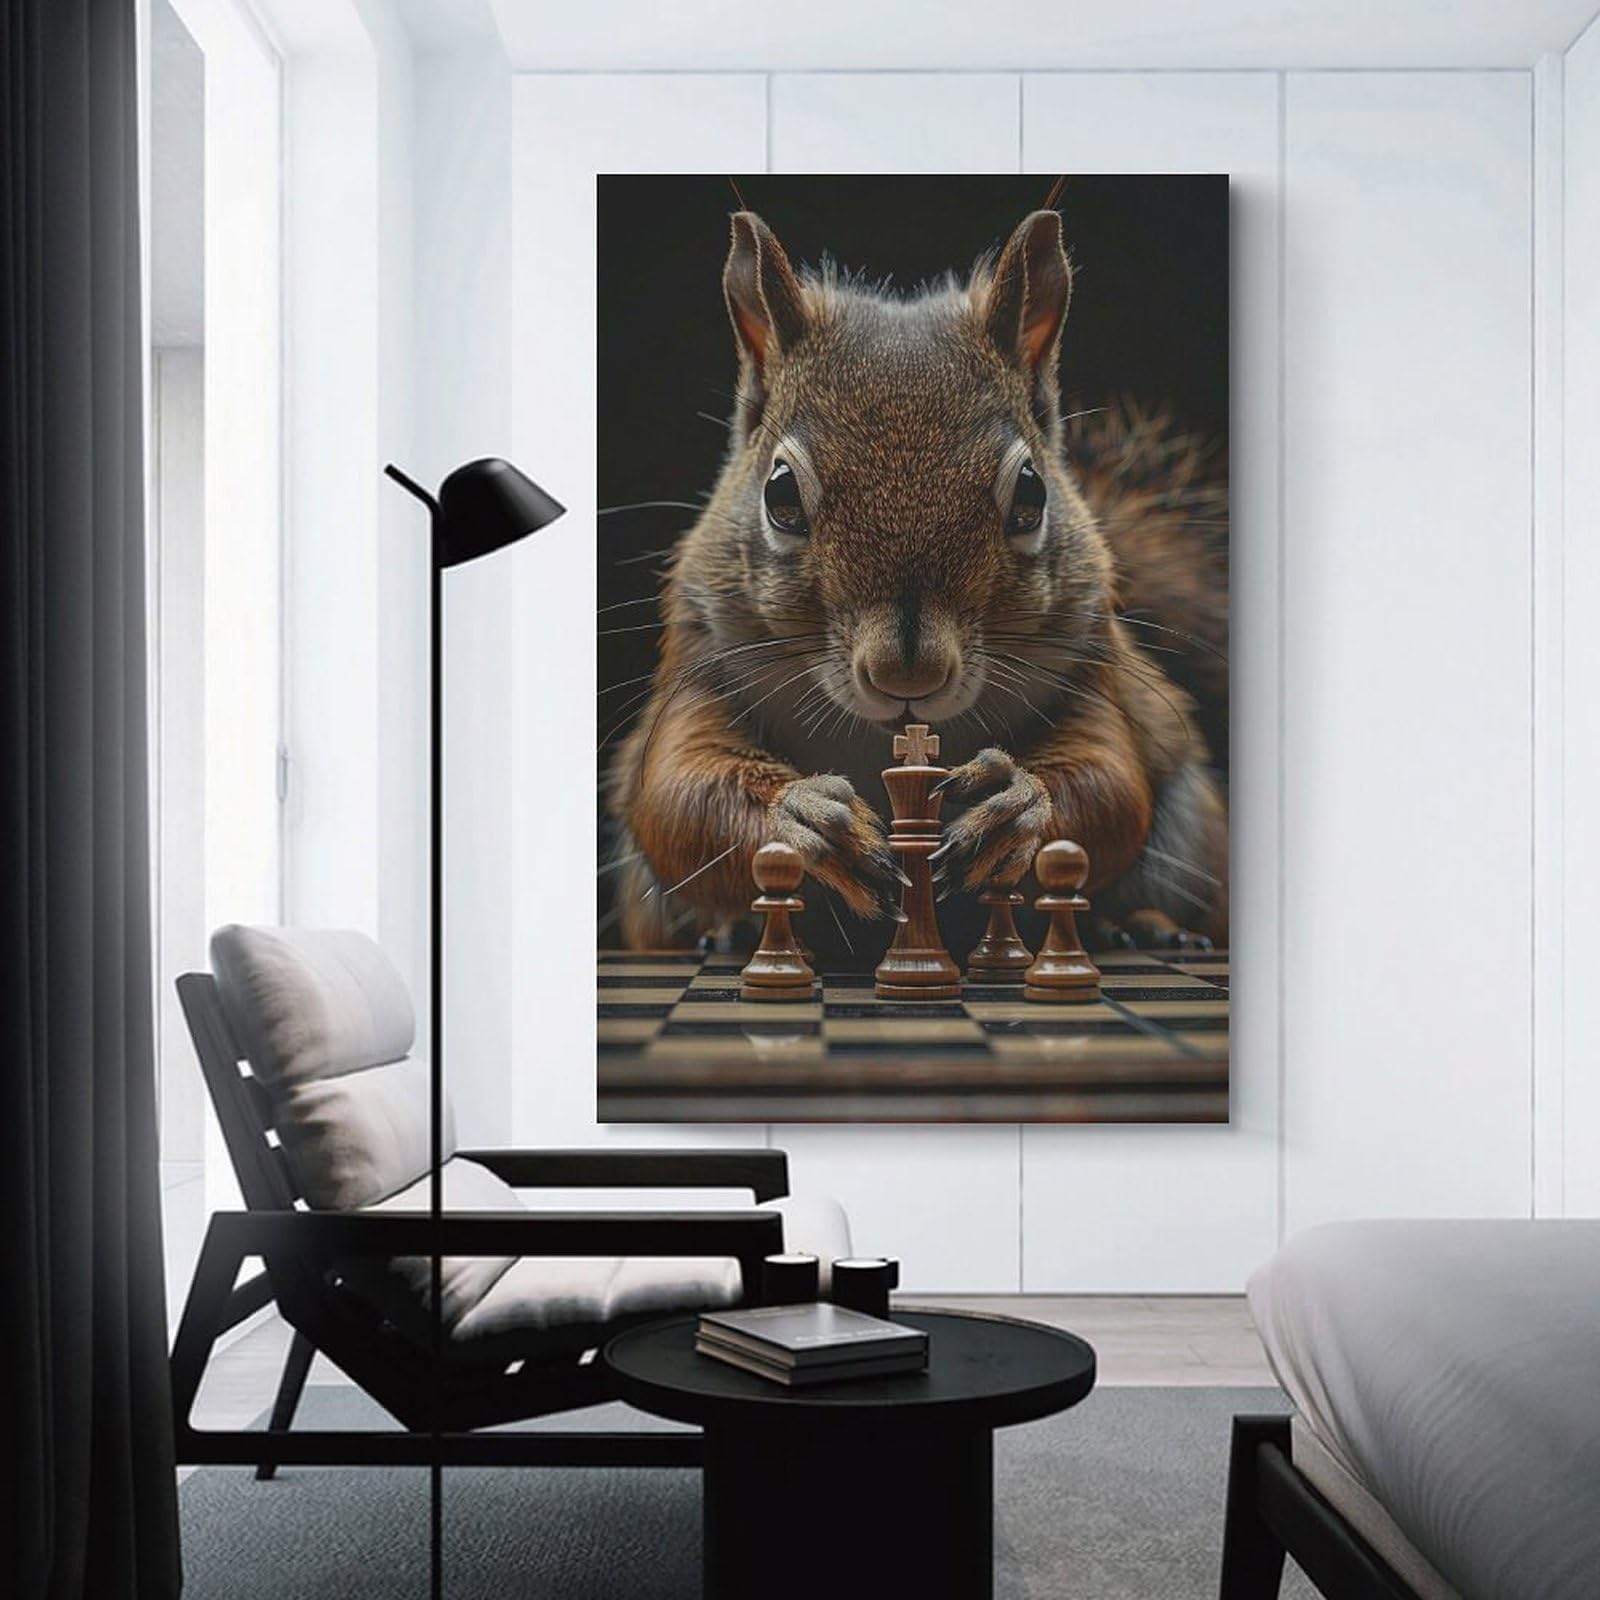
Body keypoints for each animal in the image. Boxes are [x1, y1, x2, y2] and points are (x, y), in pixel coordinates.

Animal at [606, 209, 1228, 955]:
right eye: (780, 494)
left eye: (1032, 492)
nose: (909, 675)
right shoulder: (700, 670)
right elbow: (679, 793)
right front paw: (807, 820)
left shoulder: (1091, 671)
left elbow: (1110, 783)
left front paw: (1014, 804)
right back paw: (725, 931)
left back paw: (1143, 926)